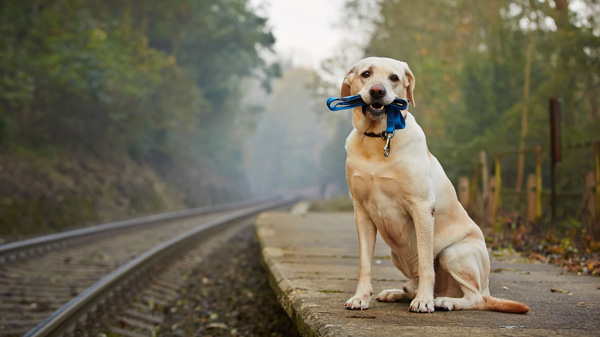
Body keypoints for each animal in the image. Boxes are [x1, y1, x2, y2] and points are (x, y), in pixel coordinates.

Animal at [340, 57, 528, 312]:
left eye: (394, 78)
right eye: (366, 74)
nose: (377, 91)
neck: (379, 139)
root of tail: (488, 287)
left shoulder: (421, 207)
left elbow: (425, 263)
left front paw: (423, 301)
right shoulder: (361, 211)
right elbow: (365, 263)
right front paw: (360, 297)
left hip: (453, 253)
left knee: (475, 297)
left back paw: (444, 300)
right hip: (397, 254)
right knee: (414, 284)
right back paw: (397, 292)